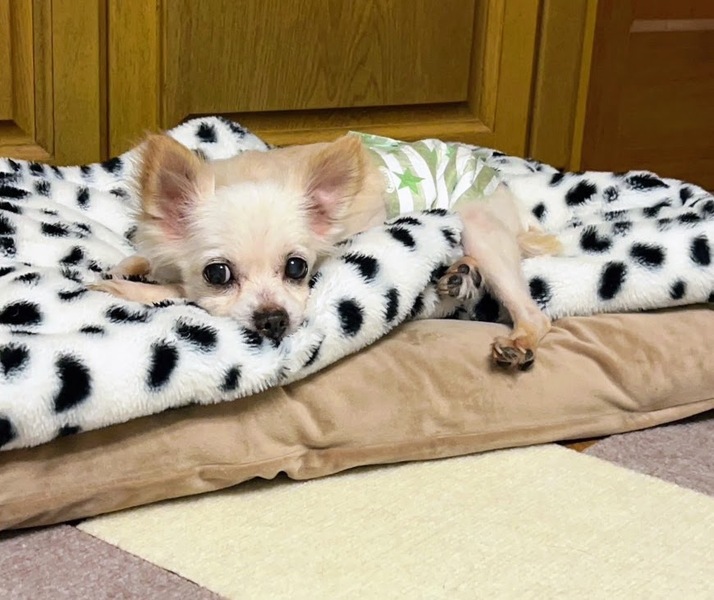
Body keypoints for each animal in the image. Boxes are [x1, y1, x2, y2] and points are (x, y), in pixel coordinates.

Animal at [92, 132, 561, 370]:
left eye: (297, 267)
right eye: (218, 273)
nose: (274, 320)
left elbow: (177, 294)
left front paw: (126, 289)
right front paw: (134, 265)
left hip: (478, 222)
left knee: (533, 313)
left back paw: (518, 340)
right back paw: (461, 274)